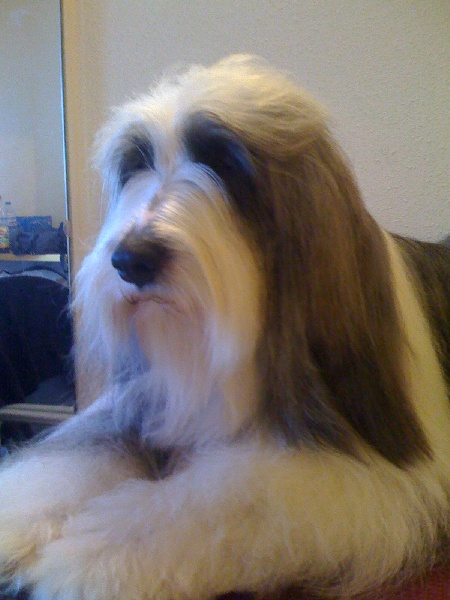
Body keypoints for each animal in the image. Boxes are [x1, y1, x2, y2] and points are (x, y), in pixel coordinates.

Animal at [0, 55, 448, 600]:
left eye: (224, 162)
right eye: (136, 164)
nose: (131, 259)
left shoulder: (366, 473)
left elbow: (221, 499)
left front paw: (89, 557)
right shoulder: (140, 404)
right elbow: (68, 458)